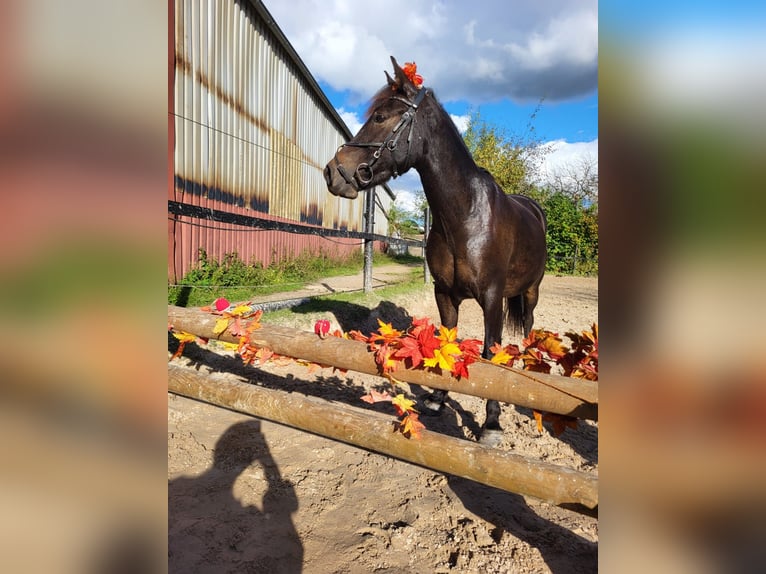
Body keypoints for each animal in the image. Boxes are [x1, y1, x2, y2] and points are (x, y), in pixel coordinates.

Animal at [324, 57, 547, 446]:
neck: (465, 216)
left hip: (530, 292)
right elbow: (447, 342)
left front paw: (491, 423)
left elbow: (488, 351)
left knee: (527, 331)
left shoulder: (491, 298)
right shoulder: (445, 293)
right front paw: (438, 397)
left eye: (380, 116)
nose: (333, 172)